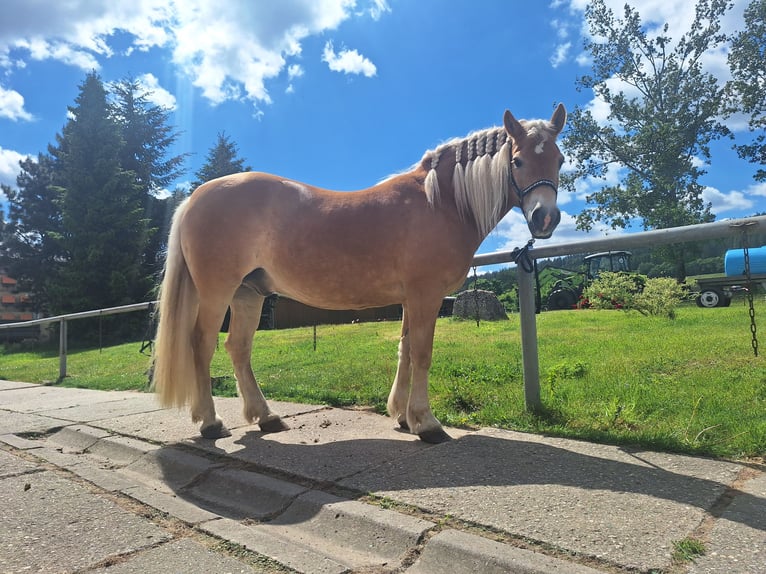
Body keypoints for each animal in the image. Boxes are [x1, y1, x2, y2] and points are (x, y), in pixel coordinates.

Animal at [152, 103, 567, 444]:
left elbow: (405, 350)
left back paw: (265, 417)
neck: (441, 203)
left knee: (238, 349)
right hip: (217, 292)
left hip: (248, 294)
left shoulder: (410, 298)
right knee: (201, 344)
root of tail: (194, 198)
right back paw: (210, 422)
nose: (545, 218)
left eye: (560, 160)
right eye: (518, 162)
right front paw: (426, 423)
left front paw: (402, 416)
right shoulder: (426, 295)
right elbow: (422, 353)